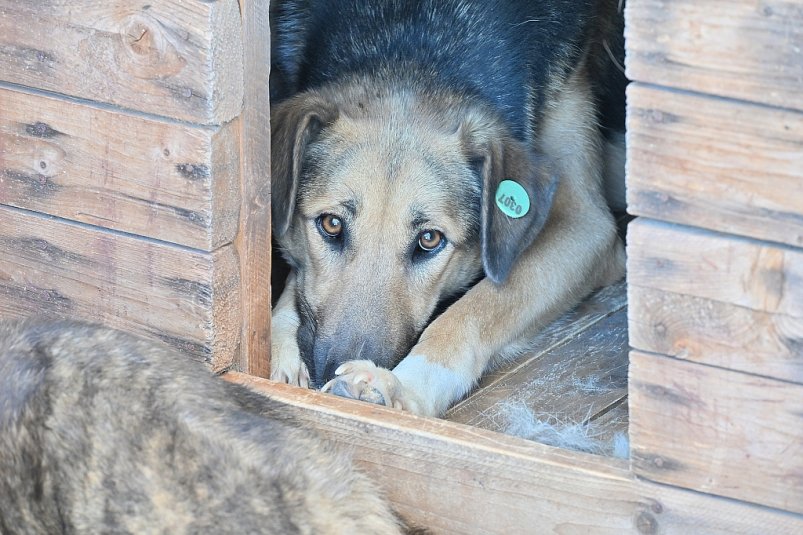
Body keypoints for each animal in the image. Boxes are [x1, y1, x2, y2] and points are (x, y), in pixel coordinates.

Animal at [270, 0, 628, 416]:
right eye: (330, 224)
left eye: (429, 240)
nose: (328, 372)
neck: (413, 42)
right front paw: (279, 343)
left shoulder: (585, 224)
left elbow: (479, 308)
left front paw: (404, 386)